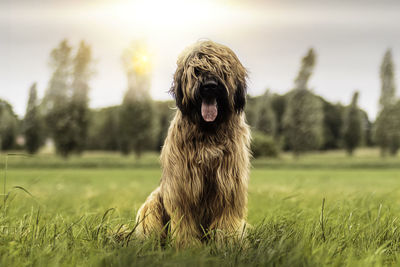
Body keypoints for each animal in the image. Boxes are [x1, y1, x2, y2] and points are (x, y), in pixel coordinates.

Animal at [136, 39, 252, 247]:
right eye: (197, 70)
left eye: (221, 70)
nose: (210, 86)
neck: (208, 131)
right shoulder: (183, 186)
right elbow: (185, 222)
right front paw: (188, 247)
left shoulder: (228, 185)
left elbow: (227, 220)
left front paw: (229, 244)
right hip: (153, 203)